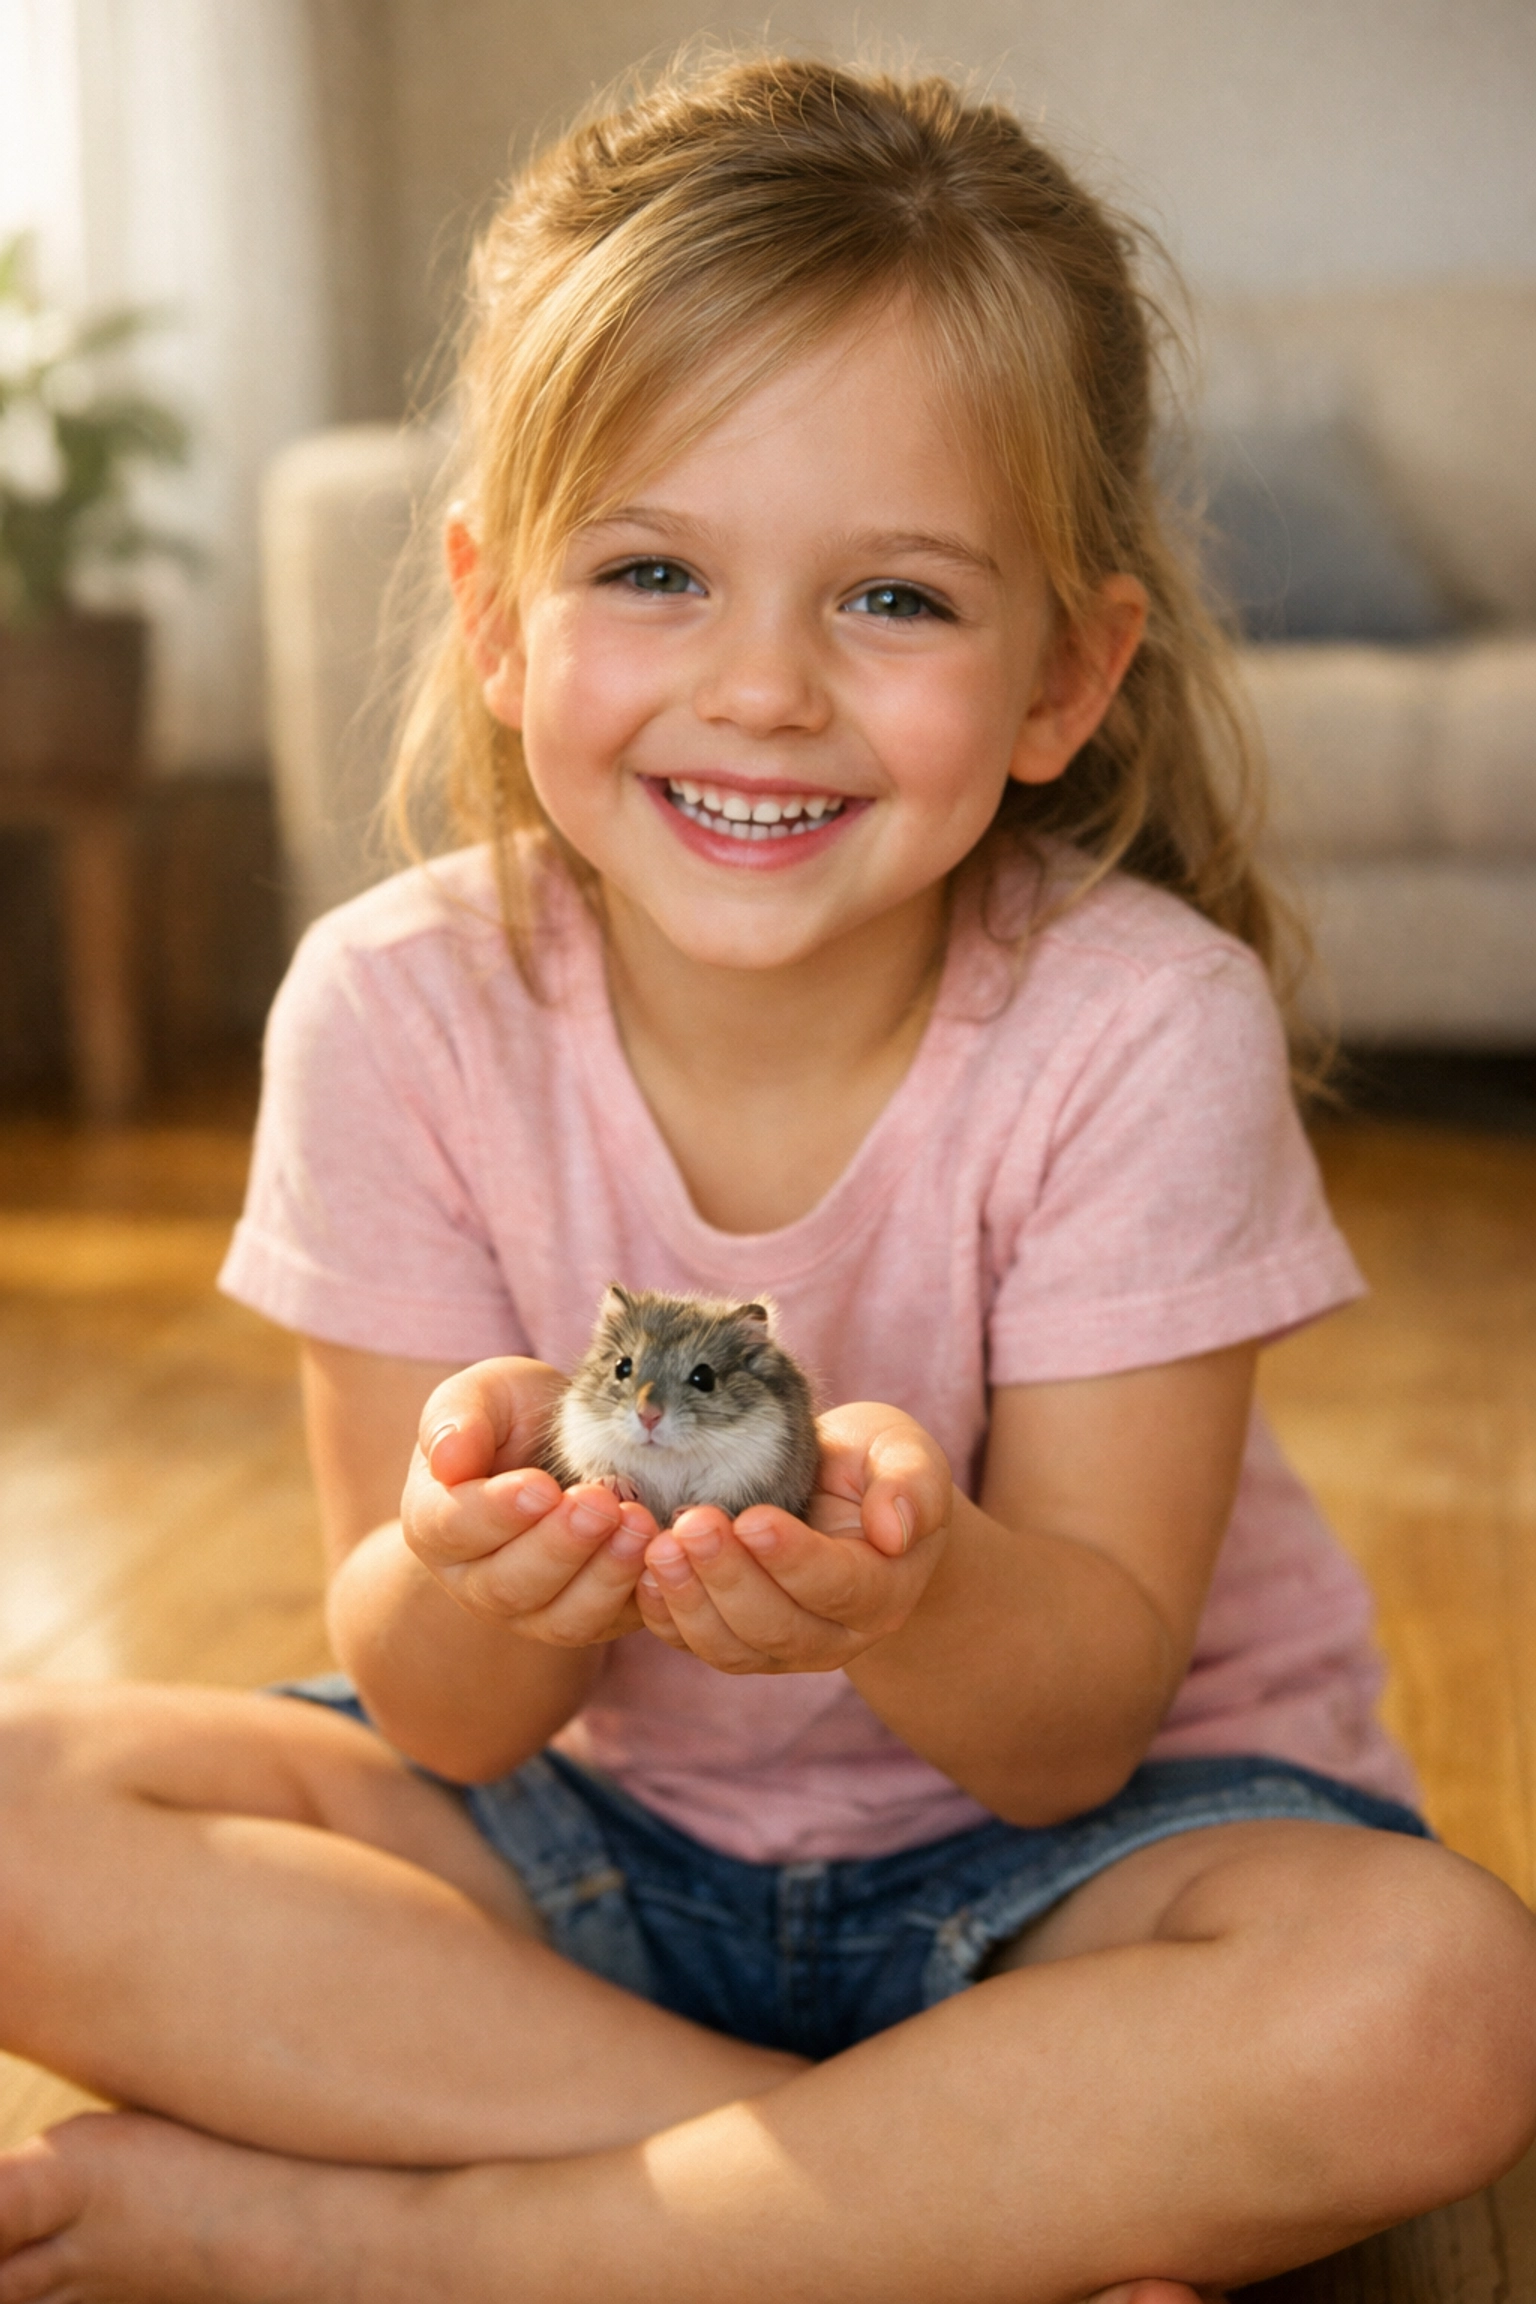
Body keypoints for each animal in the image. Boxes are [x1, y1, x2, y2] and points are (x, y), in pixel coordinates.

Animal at [546, 1286, 820, 1529]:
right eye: (622, 1366)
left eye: (704, 1377)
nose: (648, 1416)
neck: (667, 1456)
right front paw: (615, 1485)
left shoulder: (752, 1472)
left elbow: (724, 1500)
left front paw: (688, 1511)